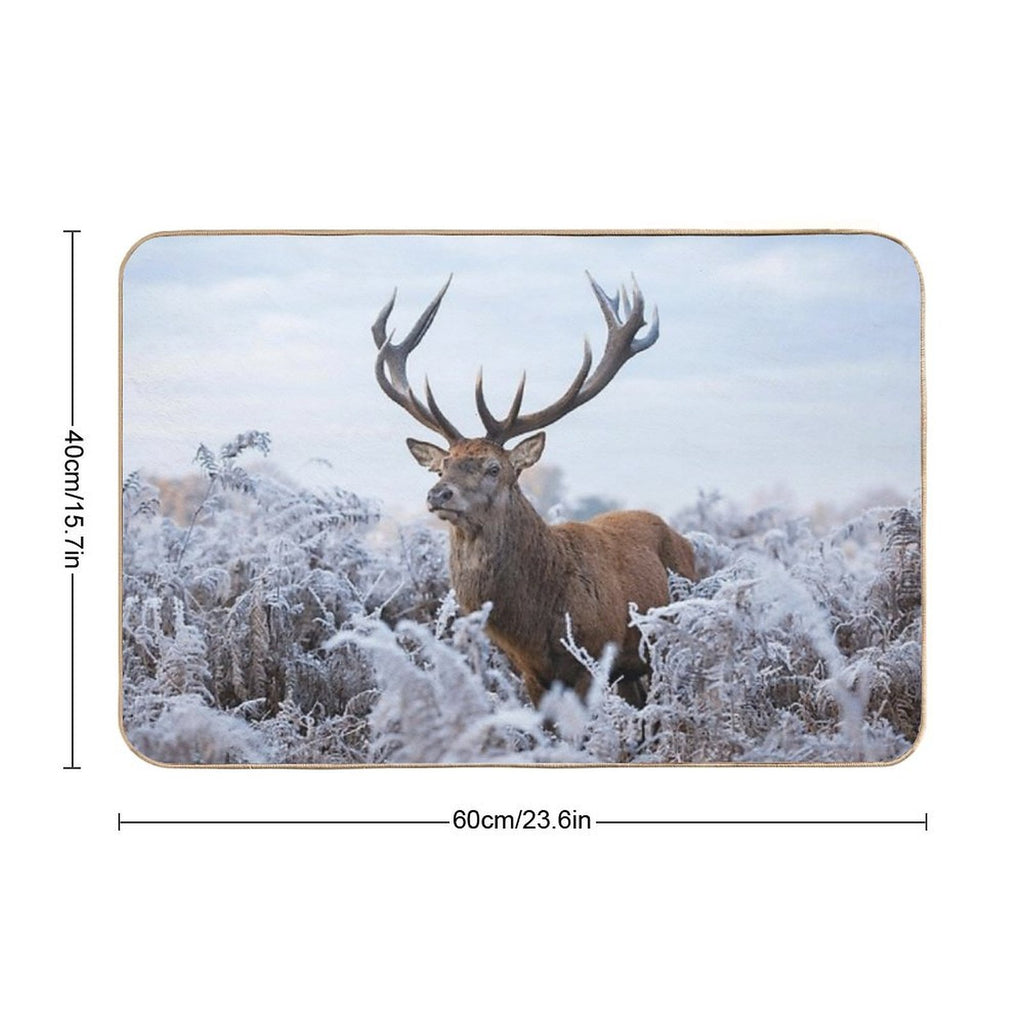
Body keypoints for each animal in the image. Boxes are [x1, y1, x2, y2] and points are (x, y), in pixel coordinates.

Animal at [371, 272, 697, 708]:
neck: (537, 623)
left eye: (494, 468)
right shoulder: (527, 672)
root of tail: (686, 542)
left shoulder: (592, 658)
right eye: (443, 465)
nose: (439, 494)